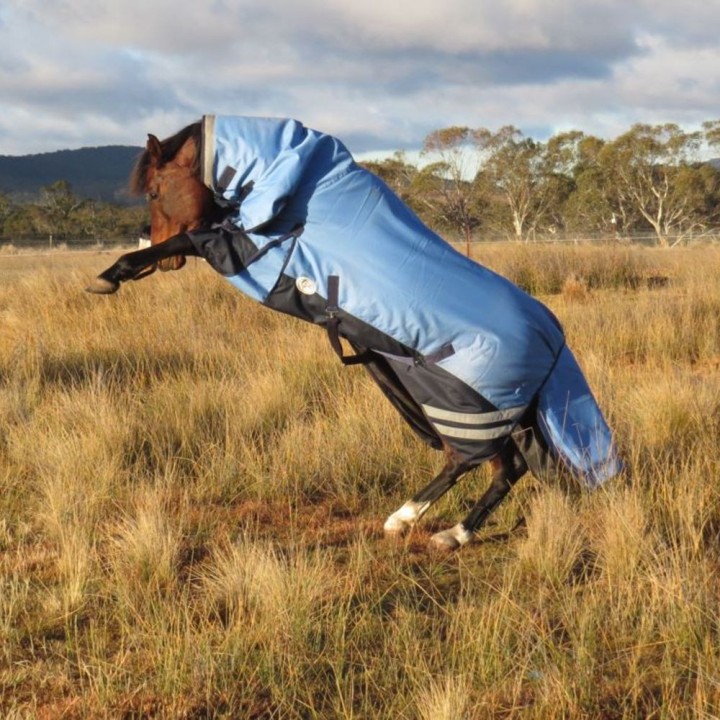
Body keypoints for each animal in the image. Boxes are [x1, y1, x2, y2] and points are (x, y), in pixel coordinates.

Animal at [87, 115, 621, 551]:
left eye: (155, 191)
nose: (161, 265)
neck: (301, 191)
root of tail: (552, 336)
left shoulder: (248, 250)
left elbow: (190, 238)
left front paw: (113, 273)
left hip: (462, 404)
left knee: (473, 461)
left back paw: (406, 519)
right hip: (499, 412)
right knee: (508, 469)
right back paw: (454, 533)